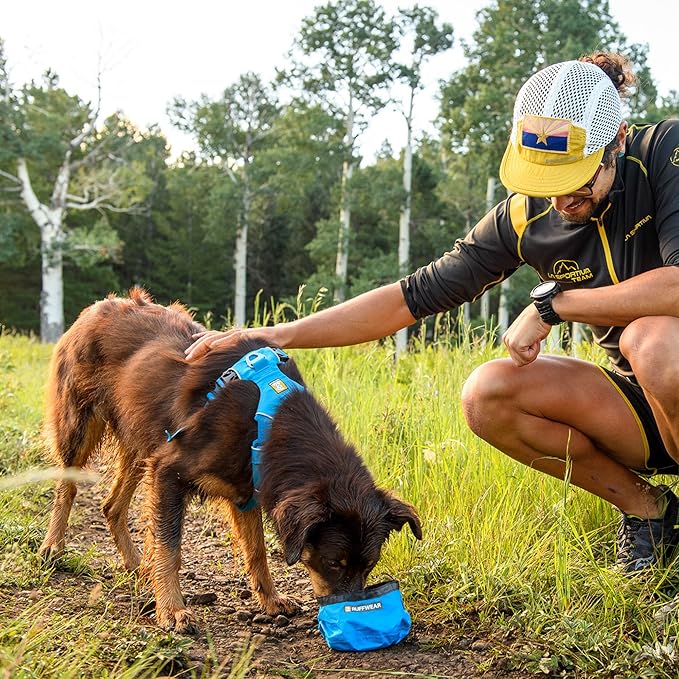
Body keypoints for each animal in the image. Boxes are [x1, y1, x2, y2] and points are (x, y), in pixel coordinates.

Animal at [39, 286, 422, 632]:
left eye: (368, 565)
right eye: (334, 563)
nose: (352, 613)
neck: (269, 417)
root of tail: (98, 306)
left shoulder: (246, 488)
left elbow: (257, 551)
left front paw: (270, 600)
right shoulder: (169, 471)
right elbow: (169, 547)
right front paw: (172, 609)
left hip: (141, 441)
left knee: (111, 506)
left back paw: (137, 565)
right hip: (81, 425)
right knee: (66, 487)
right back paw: (53, 547)